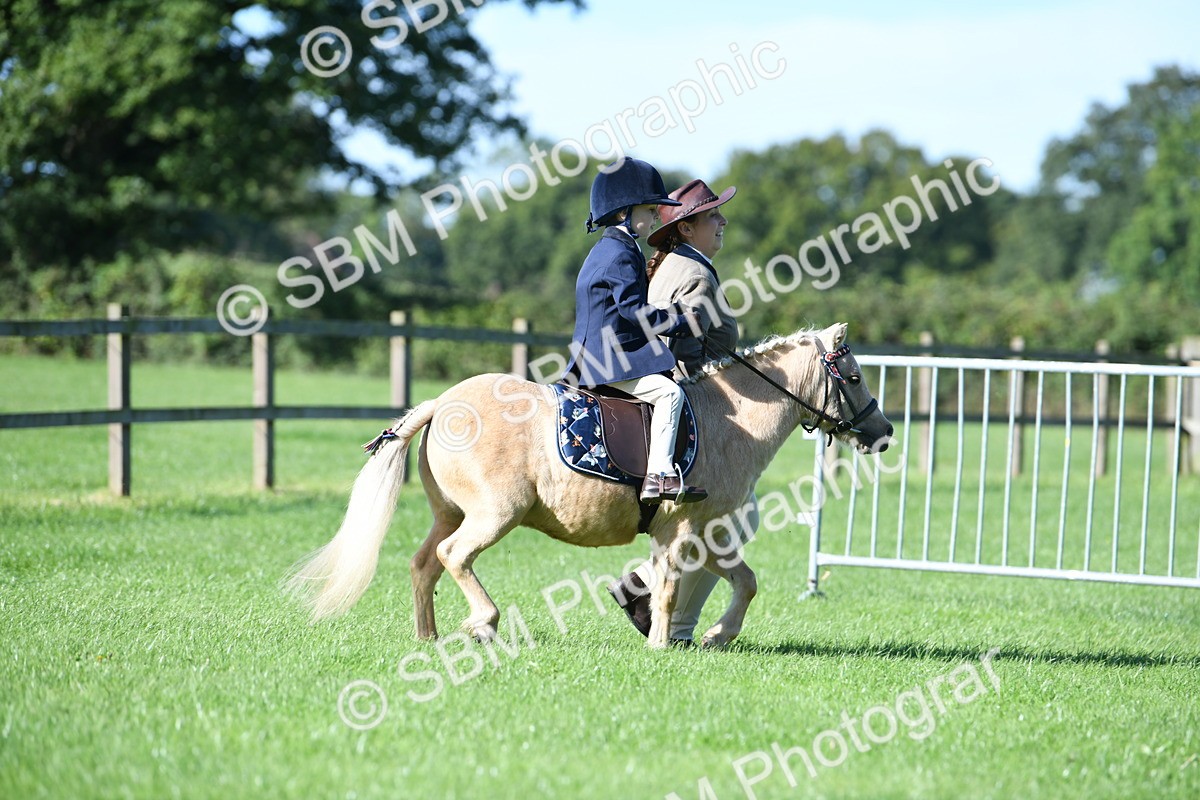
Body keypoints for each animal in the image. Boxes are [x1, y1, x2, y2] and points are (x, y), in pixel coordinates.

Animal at [287, 323, 893, 649]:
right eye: (854, 376)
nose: (883, 432)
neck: (731, 419)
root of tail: (444, 402)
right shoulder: (683, 531)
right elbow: (673, 587)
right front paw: (662, 645)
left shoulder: (710, 534)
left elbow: (744, 582)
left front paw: (714, 636)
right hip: (494, 515)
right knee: (453, 556)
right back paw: (484, 624)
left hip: (449, 512)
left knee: (423, 563)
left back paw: (427, 637)